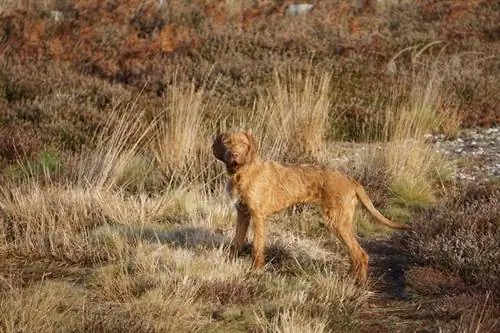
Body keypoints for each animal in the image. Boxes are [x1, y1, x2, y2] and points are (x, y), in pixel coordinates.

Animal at [212, 129, 410, 280]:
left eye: (243, 143)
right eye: (228, 142)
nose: (234, 155)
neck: (241, 173)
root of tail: (351, 180)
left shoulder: (258, 216)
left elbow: (257, 247)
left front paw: (254, 271)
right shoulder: (242, 214)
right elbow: (236, 242)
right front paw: (229, 264)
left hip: (337, 223)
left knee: (361, 254)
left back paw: (358, 285)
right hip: (341, 224)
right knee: (355, 254)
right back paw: (349, 279)